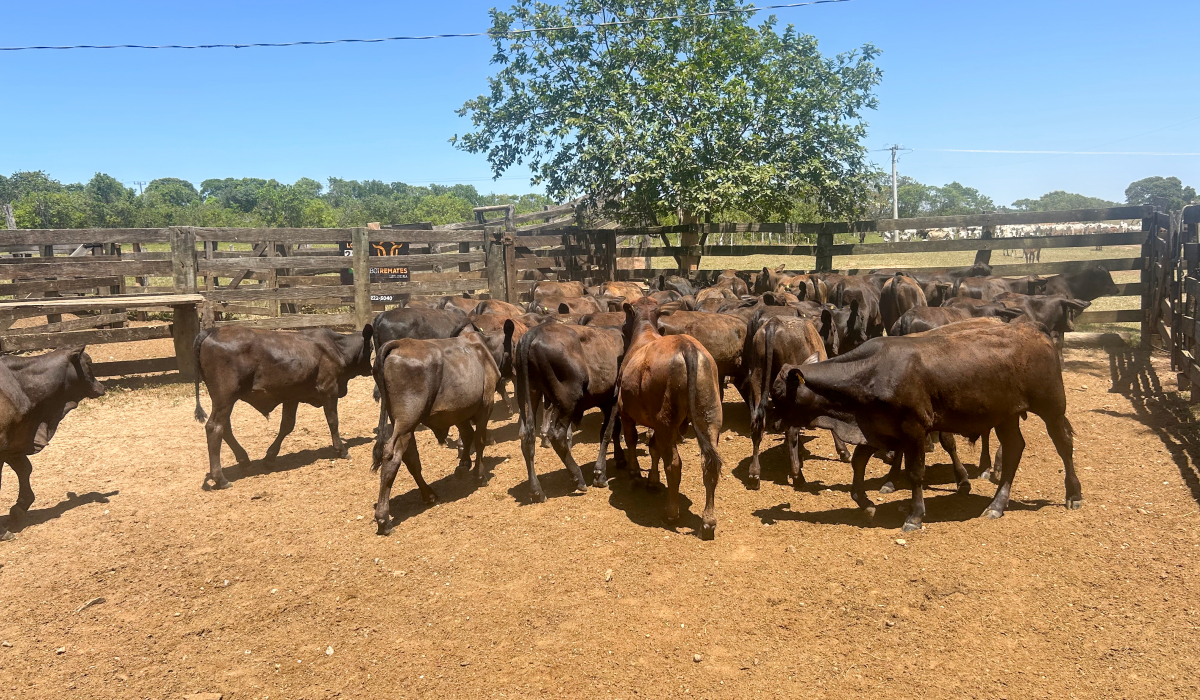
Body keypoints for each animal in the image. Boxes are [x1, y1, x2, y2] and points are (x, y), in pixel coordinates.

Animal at [193, 325, 374, 490]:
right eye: (371, 347)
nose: (372, 370)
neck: (337, 347)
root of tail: (212, 330)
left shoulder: (292, 396)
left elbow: (287, 425)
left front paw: (270, 458)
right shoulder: (329, 389)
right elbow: (333, 421)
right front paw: (341, 450)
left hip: (224, 401)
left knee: (225, 428)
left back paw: (244, 460)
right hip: (225, 398)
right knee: (215, 427)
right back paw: (220, 478)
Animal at [371, 333, 499, 534]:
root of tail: (397, 343)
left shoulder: (460, 411)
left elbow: (467, 435)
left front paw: (464, 464)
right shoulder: (486, 404)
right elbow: (479, 440)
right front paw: (480, 475)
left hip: (403, 424)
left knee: (411, 458)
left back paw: (428, 494)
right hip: (407, 420)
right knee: (392, 457)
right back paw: (384, 519)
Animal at [514, 321, 625, 502]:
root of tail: (533, 333)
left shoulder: (606, 402)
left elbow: (614, 430)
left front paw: (620, 458)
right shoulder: (613, 400)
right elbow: (608, 432)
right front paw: (600, 474)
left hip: (529, 393)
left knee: (526, 435)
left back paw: (536, 490)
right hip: (568, 400)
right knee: (557, 435)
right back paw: (577, 477)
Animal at [595, 302, 724, 539]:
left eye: (624, 324)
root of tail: (687, 347)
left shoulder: (626, 413)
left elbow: (632, 440)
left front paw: (636, 474)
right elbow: (653, 447)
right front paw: (653, 481)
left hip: (667, 421)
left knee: (674, 464)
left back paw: (671, 512)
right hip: (709, 417)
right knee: (709, 465)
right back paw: (708, 521)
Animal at [768, 322, 1080, 532]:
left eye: (778, 392)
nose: (771, 422)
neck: (870, 372)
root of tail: (1037, 332)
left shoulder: (914, 429)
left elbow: (915, 472)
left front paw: (915, 515)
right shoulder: (878, 429)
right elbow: (858, 463)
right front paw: (866, 503)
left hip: (1052, 408)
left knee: (1064, 443)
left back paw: (1073, 494)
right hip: (1006, 415)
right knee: (1015, 448)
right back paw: (996, 505)